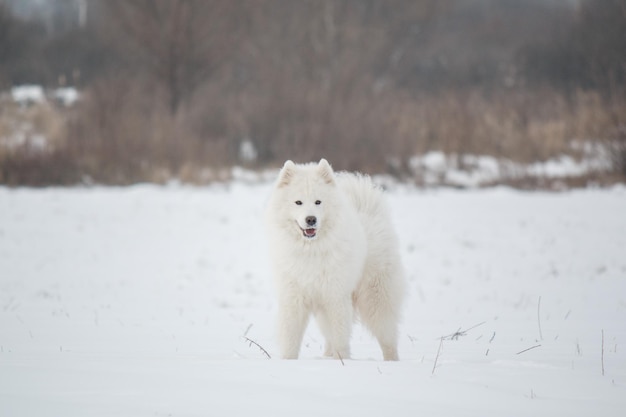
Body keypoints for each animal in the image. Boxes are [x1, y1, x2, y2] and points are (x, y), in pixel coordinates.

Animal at [264, 158, 404, 360]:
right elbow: (290, 337)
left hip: (376, 299)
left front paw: (342, 361)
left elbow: (340, 334)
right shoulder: (293, 297)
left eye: (318, 202)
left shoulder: (335, 296)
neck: (311, 250)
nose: (311, 219)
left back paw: (391, 361)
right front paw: (288, 361)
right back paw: (327, 356)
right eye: (298, 202)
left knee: (387, 337)